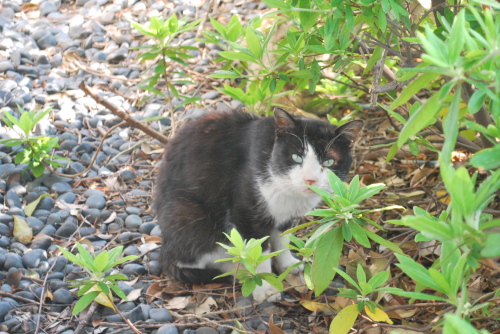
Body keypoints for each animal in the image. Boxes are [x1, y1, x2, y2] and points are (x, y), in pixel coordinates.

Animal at [154, 109, 362, 302]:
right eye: (296, 157)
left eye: (329, 161)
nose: (310, 180)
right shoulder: (246, 213)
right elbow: (258, 249)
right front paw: (263, 285)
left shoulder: (286, 215)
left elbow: (282, 238)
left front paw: (287, 264)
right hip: (189, 216)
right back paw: (237, 270)